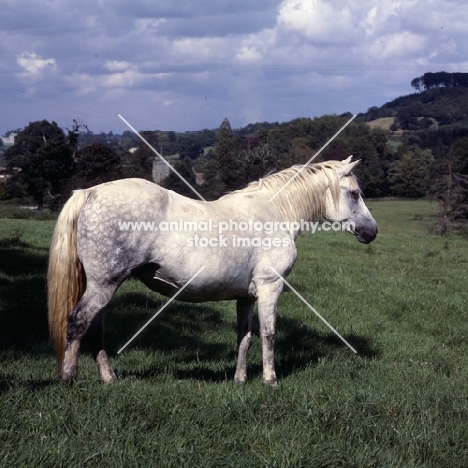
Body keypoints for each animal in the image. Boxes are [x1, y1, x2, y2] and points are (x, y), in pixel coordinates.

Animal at [47, 157, 376, 384]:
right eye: (355, 193)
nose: (372, 231)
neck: (276, 212)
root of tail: (90, 192)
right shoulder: (271, 286)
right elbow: (269, 333)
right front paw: (270, 380)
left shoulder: (246, 297)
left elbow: (245, 337)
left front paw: (240, 380)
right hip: (104, 284)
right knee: (77, 322)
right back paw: (68, 378)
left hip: (105, 287)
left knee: (95, 329)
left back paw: (109, 378)